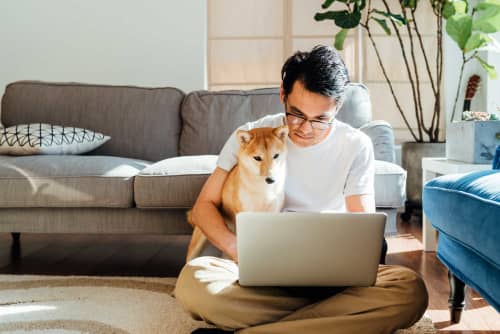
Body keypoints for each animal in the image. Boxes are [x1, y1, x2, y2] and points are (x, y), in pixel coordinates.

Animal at [187, 124, 290, 260]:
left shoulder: (273, 213)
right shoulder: (245, 213)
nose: (271, 179)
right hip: (199, 241)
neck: (262, 190)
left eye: (276, 156)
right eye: (257, 158)